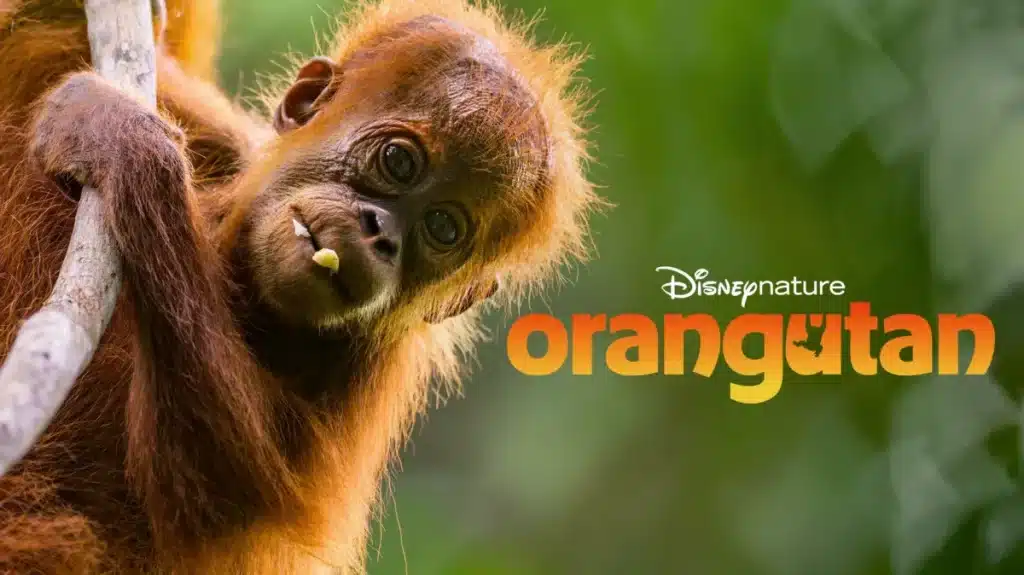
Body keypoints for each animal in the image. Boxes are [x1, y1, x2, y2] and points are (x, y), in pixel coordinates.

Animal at [0, 0, 599, 573]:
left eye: (443, 228)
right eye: (399, 161)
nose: (381, 234)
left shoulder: (364, 381)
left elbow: (213, 495)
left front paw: (121, 143)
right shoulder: (223, 142)